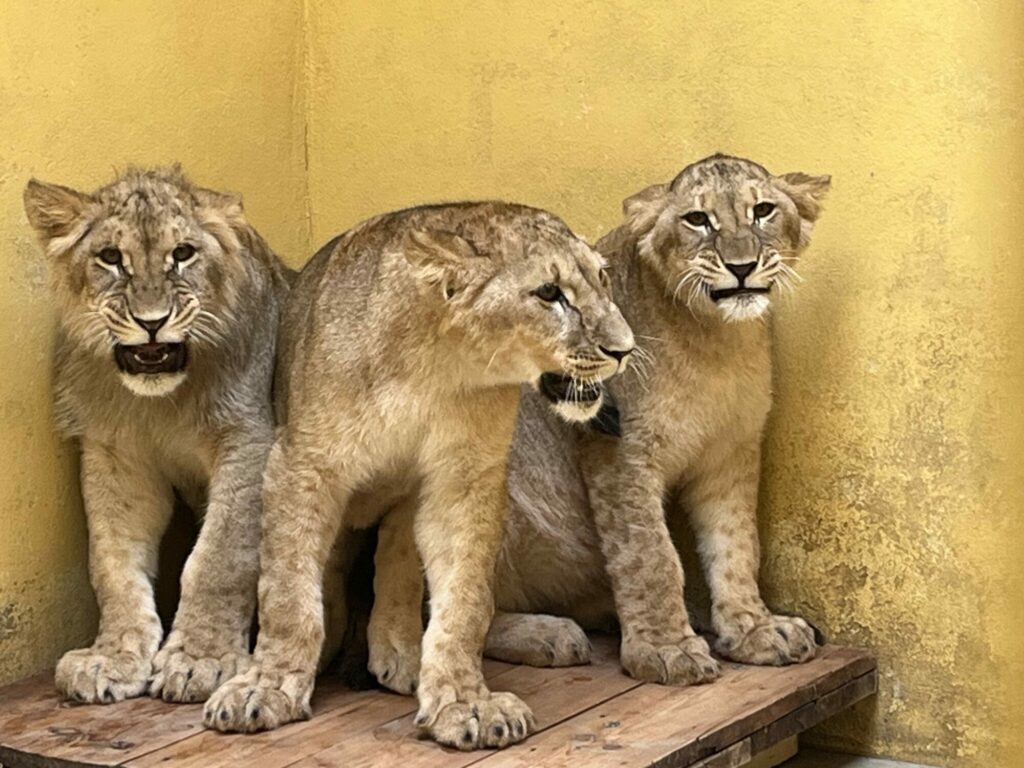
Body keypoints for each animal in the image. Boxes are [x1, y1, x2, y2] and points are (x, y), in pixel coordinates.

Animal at [23, 167, 290, 704]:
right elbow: (111, 563)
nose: (152, 323)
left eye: (183, 253)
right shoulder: (116, 457)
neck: (159, 404)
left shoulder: (248, 439)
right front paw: (112, 656)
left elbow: (218, 557)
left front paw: (201, 659)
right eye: (110, 257)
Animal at [202, 202, 634, 751]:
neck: (434, 368)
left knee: (399, 568)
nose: (625, 350)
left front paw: (464, 702)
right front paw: (268, 686)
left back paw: (402, 657)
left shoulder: (464, 480)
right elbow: (287, 590)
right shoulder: (301, 465)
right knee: (334, 570)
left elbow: (466, 602)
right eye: (548, 293)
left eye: (603, 278)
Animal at [368, 154, 831, 689]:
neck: (716, 340)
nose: (741, 267)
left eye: (763, 210)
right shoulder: (618, 449)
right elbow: (650, 553)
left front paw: (754, 630)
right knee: (450, 608)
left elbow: (736, 545)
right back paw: (549, 635)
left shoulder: (731, 453)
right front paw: (667, 651)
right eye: (698, 219)